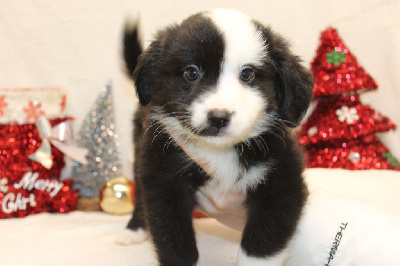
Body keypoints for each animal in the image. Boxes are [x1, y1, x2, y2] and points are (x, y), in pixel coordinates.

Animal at [121, 8, 312, 266]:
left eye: (248, 74)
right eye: (191, 72)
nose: (218, 117)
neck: (220, 151)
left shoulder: (283, 182)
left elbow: (261, 245)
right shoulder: (163, 177)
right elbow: (173, 242)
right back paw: (133, 230)